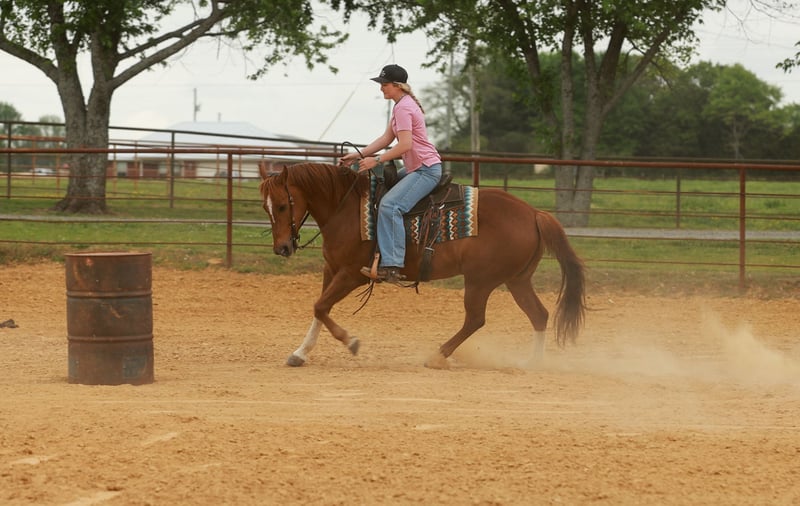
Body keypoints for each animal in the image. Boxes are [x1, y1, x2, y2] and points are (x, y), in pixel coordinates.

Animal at [258, 162, 586, 369]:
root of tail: (534, 213)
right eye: (266, 207)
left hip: (480, 281)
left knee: (475, 319)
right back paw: (531, 362)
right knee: (538, 314)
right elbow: (319, 309)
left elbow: (321, 307)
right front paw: (300, 353)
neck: (347, 209)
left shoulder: (352, 274)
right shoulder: (332, 269)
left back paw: (438, 355)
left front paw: (351, 342)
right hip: (517, 280)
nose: (282, 248)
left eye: (284, 205)